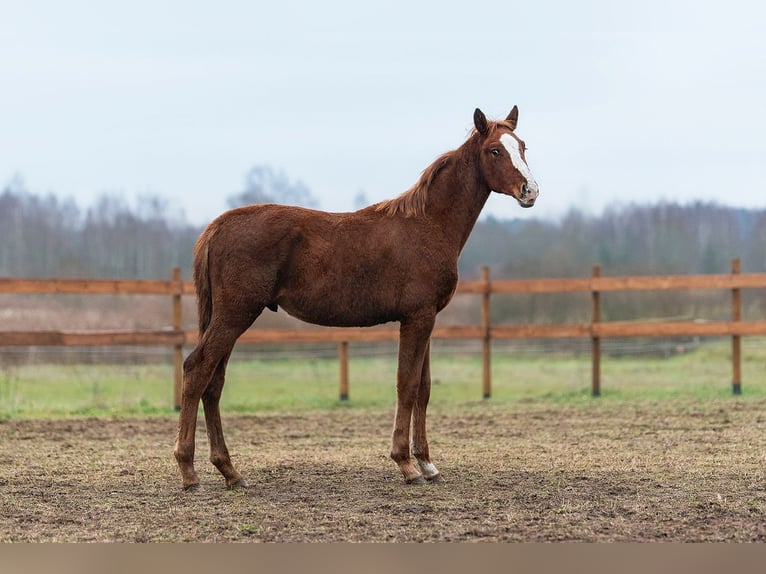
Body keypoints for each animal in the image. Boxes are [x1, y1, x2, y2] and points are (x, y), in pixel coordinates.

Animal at [177, 107, 544, 490]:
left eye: (522, 146)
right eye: (494, 150)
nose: (530, 190)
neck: (428, 224)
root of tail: (217, 227)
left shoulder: (428, 318)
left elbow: (424, 387)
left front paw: (427, 464)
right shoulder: (416, 318)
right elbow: (406, 385)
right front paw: (406, 465)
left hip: (229, 317)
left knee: (214, 381)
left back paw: (230, 471)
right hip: (236, 314)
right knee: (197, 369)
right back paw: (189, 472)